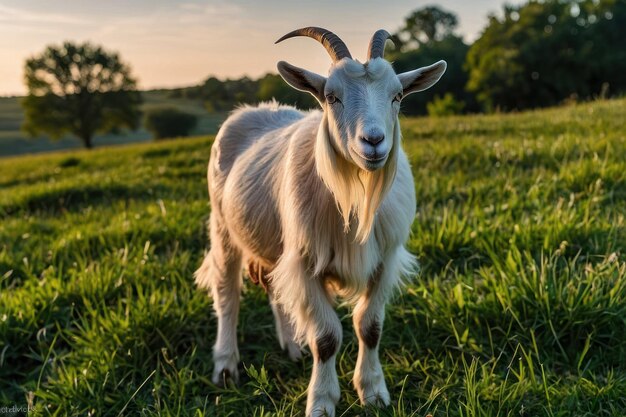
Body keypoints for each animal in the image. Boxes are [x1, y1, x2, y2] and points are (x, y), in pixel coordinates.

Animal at [195, 27, 444, 414]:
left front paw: (373, 392)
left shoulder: (384, 260)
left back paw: (293, 348)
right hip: (223, 226)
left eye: (398, 95)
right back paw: (225, 367)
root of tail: (251, 111)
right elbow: (326, 338)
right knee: (226, 293)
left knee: (274, 287)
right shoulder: (306, 261)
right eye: (331, 96)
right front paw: (322, 401)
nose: (373, 141)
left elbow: (370, 326)